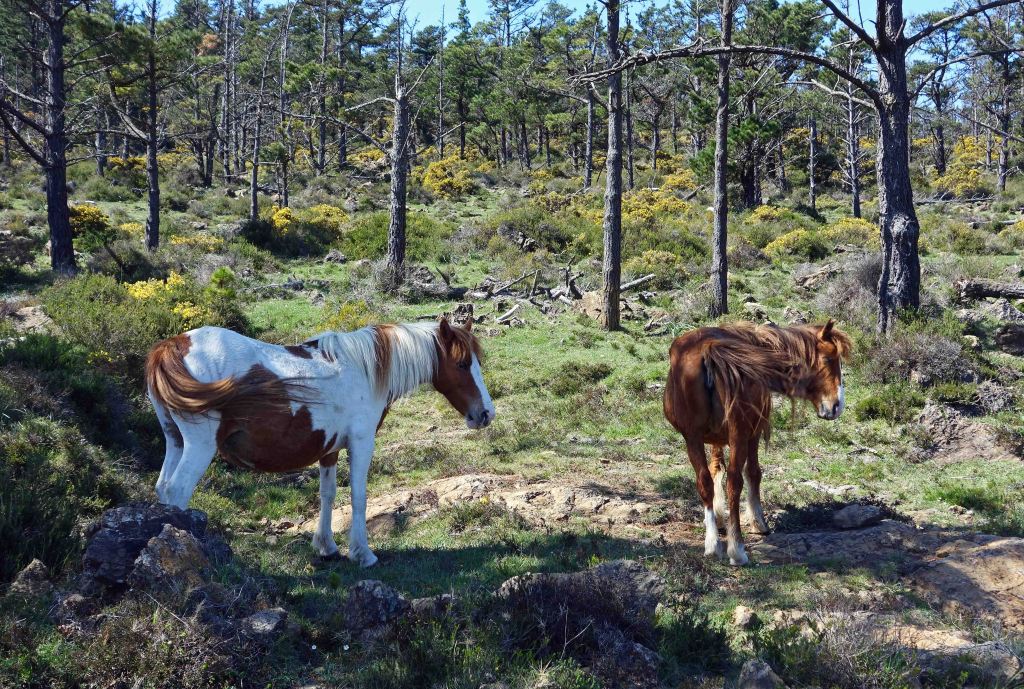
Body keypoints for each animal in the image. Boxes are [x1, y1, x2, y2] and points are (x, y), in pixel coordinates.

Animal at [145, 318, 494, 568]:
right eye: (462, 364)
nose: (486, 413)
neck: (365, 370)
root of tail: (172, 346)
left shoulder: (330, 449)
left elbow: (327, 495)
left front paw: (326, 546)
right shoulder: (361, 443)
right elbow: (358, 497)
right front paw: (362, 553)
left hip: (175, 441)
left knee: (163, 488)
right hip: (199, 446)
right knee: (178, 490)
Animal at [663, 320, 851, 566]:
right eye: (829, 359)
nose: (837, 405)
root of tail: (709, 349)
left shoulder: (712, 438)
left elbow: (715, 469)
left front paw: (719, 515)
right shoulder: (753, 433)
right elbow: (753, 472)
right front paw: (758, 522)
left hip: (692, 438)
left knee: (704, 481)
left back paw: (712, 545)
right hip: (739, 435)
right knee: (735, 481)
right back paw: (737, 550)